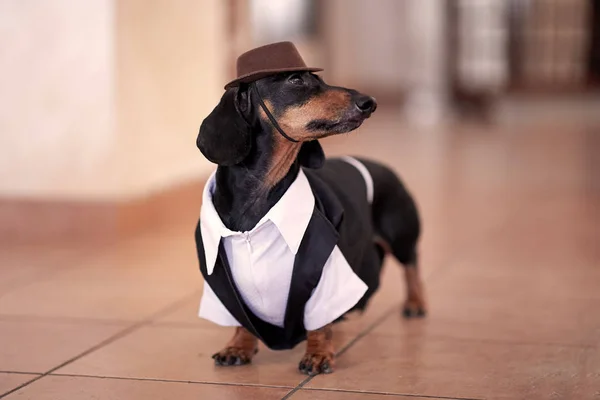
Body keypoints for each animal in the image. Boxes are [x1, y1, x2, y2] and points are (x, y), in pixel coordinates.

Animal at [195, 56, 424, 376]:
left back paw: (415, 303)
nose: (370, 102)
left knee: (412, 264)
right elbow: (242, 319)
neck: (259, 197)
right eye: (295, 80)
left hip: (400, 236)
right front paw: (237, 347)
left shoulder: (327, 271)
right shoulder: (225, 286)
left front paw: (318, 353)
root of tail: (384, 166)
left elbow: (319, 321)